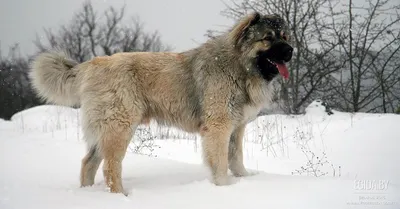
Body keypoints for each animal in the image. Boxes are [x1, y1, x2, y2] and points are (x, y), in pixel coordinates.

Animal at [28, 11, 290, 194]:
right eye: (267, 38)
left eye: (284, 36)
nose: (290, 51)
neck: (239, 65)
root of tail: (91, 64)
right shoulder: (219, 127)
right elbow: (221, 162)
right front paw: (224, 188)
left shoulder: (236, 128)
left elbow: (236, 158)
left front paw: (243, 180)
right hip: (119, 127)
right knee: (110, 167)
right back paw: (120, 196)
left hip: (105, 129)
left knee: (88, 163)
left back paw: (88, 193)